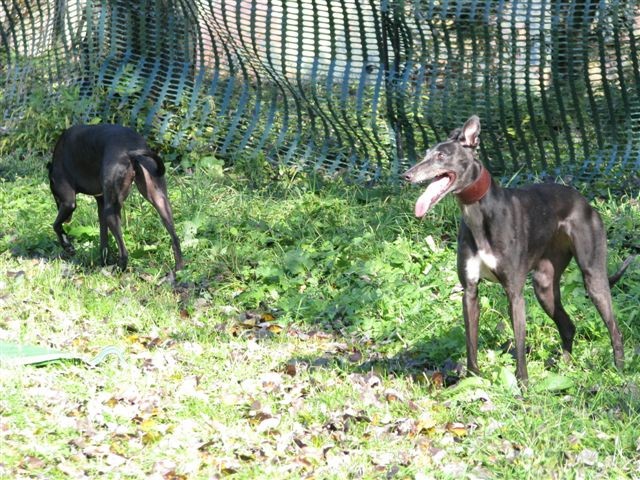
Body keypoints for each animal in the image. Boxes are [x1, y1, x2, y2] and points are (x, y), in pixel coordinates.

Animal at [48, 124, 184, 274]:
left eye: (55, 196)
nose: (68, 220)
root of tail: (130, 149)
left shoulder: (68, 203)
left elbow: (55, 225)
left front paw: (68, 246)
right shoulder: (101, 204)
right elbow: (104, 242)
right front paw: (102, 263)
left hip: (111, 212)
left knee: (124, 252)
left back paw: (117, 270)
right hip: (160, 201)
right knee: (175, 239)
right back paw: (178, 270)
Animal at [402, 115, 632, 382]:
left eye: (441, 156)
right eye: (426, 154)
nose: (407, 175)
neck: (480, 212)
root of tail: (585, 202)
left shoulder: (514, 292)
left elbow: (520, 344)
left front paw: (522, 383)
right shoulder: (469, 291)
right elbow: (471, 343)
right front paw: (472, 379)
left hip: (593, 276)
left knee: (614, 329)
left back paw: (619, 370)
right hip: (544, 286)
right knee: (568, 326)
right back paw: (565, 366)